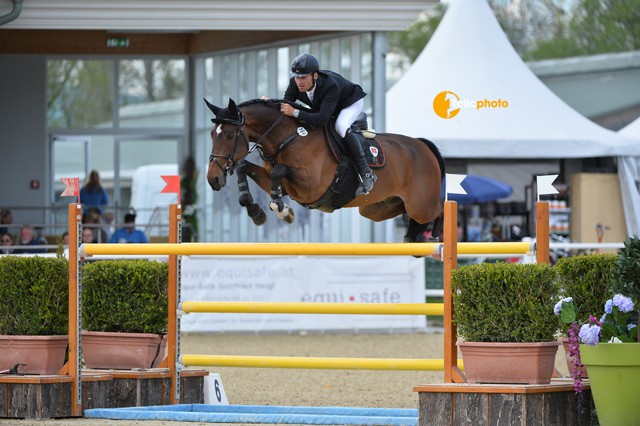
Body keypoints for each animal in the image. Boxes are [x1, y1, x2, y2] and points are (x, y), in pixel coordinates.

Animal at [205, 98, 444, 241]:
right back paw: (412, 237)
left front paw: (282, 209)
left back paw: (436, 237)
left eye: (229, 134)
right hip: (376, 208)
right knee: (403, 212)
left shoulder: (312, 186)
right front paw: (258, 211)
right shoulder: (288, 184)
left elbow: (278, 171)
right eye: (211, 134)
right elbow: (245, 167)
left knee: (440, 209)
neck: (288, 137)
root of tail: (423, 146)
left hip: (421, 206)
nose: (212, 179)